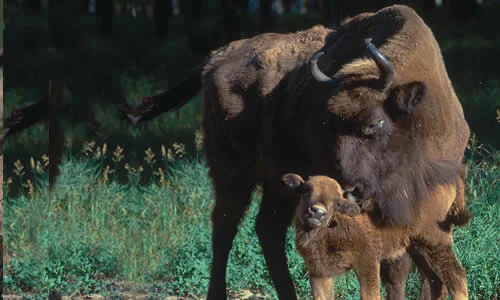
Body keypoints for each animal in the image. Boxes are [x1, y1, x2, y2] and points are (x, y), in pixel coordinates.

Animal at [284, 173, 470, 300]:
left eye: (337, 201)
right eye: (306, 191)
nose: (318, 212)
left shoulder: (367, 263)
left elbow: (370, 295)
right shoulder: (319, 273)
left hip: (436, 243)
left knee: (457, 276)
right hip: (418, 249)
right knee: (436, 280)